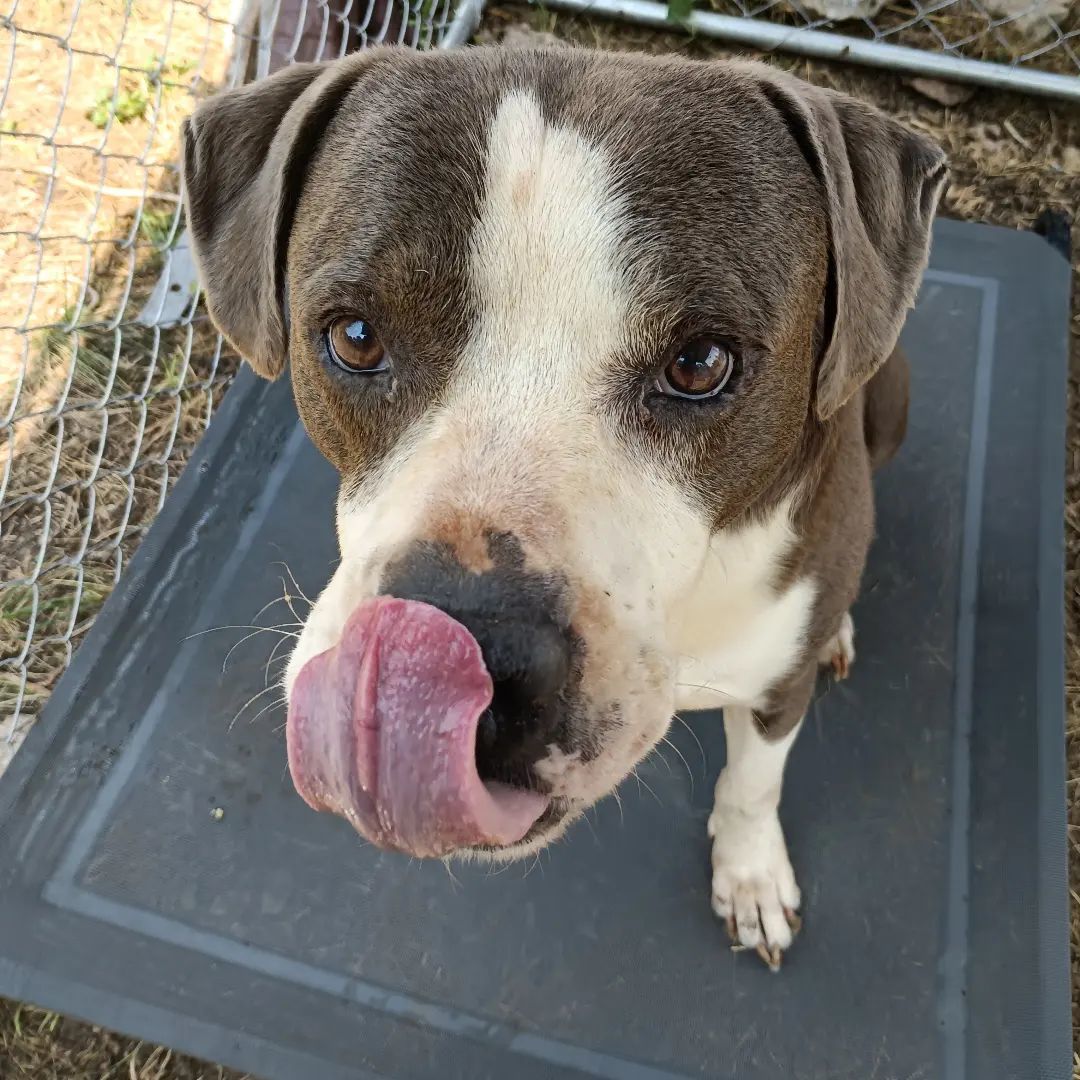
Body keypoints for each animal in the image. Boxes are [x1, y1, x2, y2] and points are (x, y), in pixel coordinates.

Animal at [183, 42, 946, 972]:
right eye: (354, 337)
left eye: (701, 362)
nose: (459, 663)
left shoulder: (777, 690)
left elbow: (753, 783)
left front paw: (752, 875)